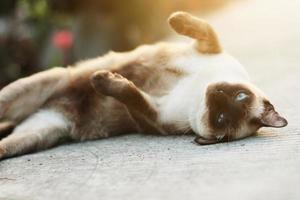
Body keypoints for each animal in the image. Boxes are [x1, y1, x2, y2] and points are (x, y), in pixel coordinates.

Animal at [0, 12, 288, 159]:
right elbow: (203, 28)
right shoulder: (207, 48)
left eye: (220, 119)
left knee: (6, 141)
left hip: (40, 133)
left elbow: (129, 94)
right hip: (40, 85)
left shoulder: (152, 117)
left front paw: (102, 81)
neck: (194, 93)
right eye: (240, 96)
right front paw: (174, 18)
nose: (215, 94)